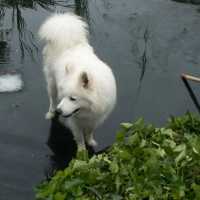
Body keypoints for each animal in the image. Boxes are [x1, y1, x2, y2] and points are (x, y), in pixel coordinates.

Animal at [38, 12, 116, 150]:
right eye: (64, 96)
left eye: (73, 99)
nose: (59, 111)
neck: (89, 108)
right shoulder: (75, 121)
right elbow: (79, 138)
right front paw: (82, 151)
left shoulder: (95, 119)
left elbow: (89, 131)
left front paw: (90, 142)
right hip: (52, 83)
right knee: (52, 99)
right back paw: (51, 112)